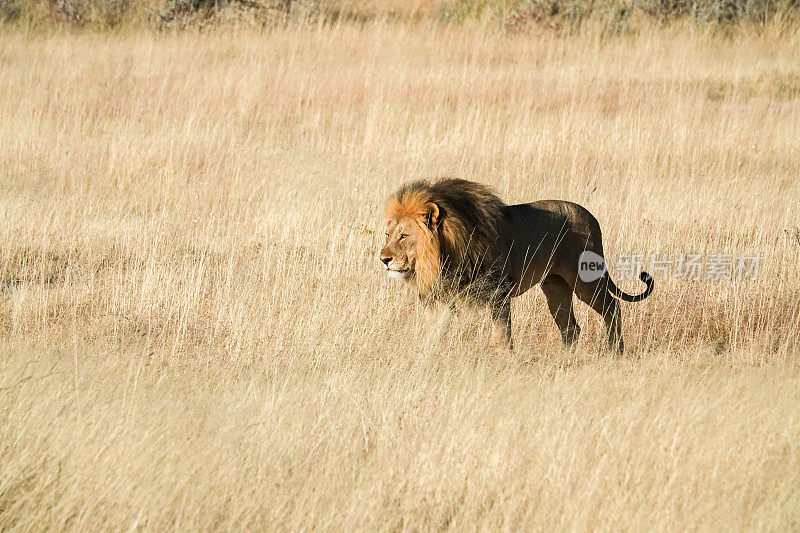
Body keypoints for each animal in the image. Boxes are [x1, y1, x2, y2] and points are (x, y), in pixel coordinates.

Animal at [378, 179, 652, 354]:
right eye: (387, 234)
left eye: (404, 236)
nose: (384, 259)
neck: (443, 256)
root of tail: (591, 216)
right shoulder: (443, 297)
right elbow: (435, 333)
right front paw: (427, 357)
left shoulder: (498, 293)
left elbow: (502, 335)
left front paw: (507, 362)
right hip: (555, 286)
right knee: (571, 327)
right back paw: (566, 359)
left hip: (585, 279)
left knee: (612, 307)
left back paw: (615, 351)